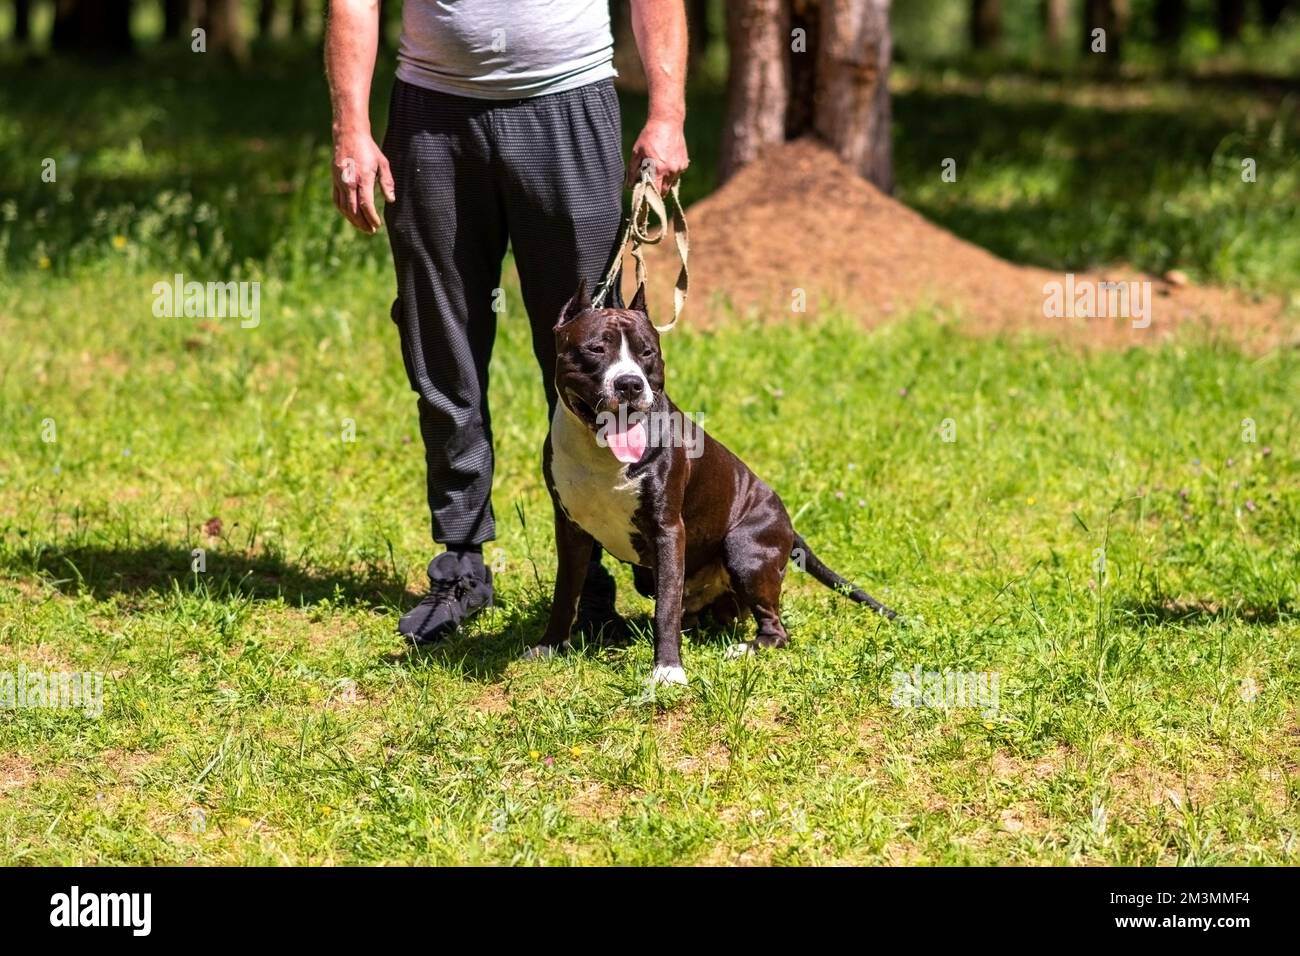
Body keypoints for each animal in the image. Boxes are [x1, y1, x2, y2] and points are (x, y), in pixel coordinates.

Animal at [525, 280, 894, 686]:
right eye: (595, 349)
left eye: (647, 352)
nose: (630, 383)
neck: (601, 453)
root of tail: (789, 524)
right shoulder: (570, 529)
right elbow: (565, 592)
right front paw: (550, 645)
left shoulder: (668, 530)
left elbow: (666, 608)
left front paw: (668, 669)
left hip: (745, 549)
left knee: (775, 628)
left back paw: (746, 648)